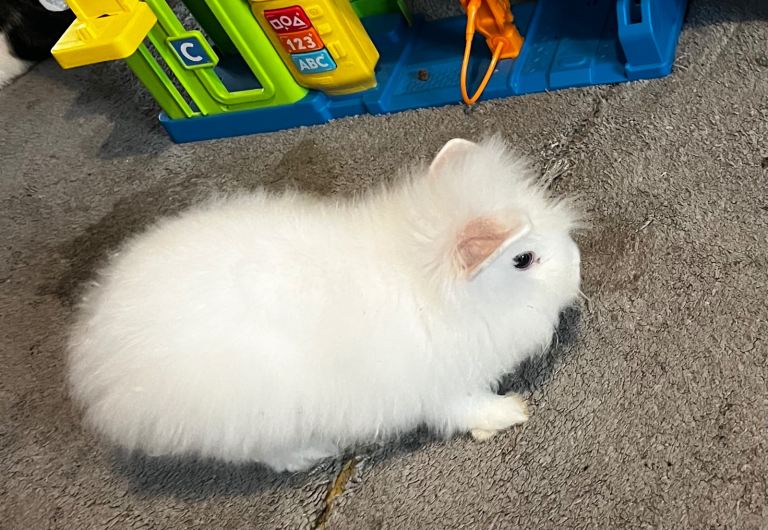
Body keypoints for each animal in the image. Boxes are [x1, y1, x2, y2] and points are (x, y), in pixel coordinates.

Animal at [68, 136, 582, 472]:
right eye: (523, 259)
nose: (578, 266)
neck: (433, 287)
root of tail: (98, 356)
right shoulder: (441, 385)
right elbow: (466, 408)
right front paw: (511, 413)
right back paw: (313, 452)